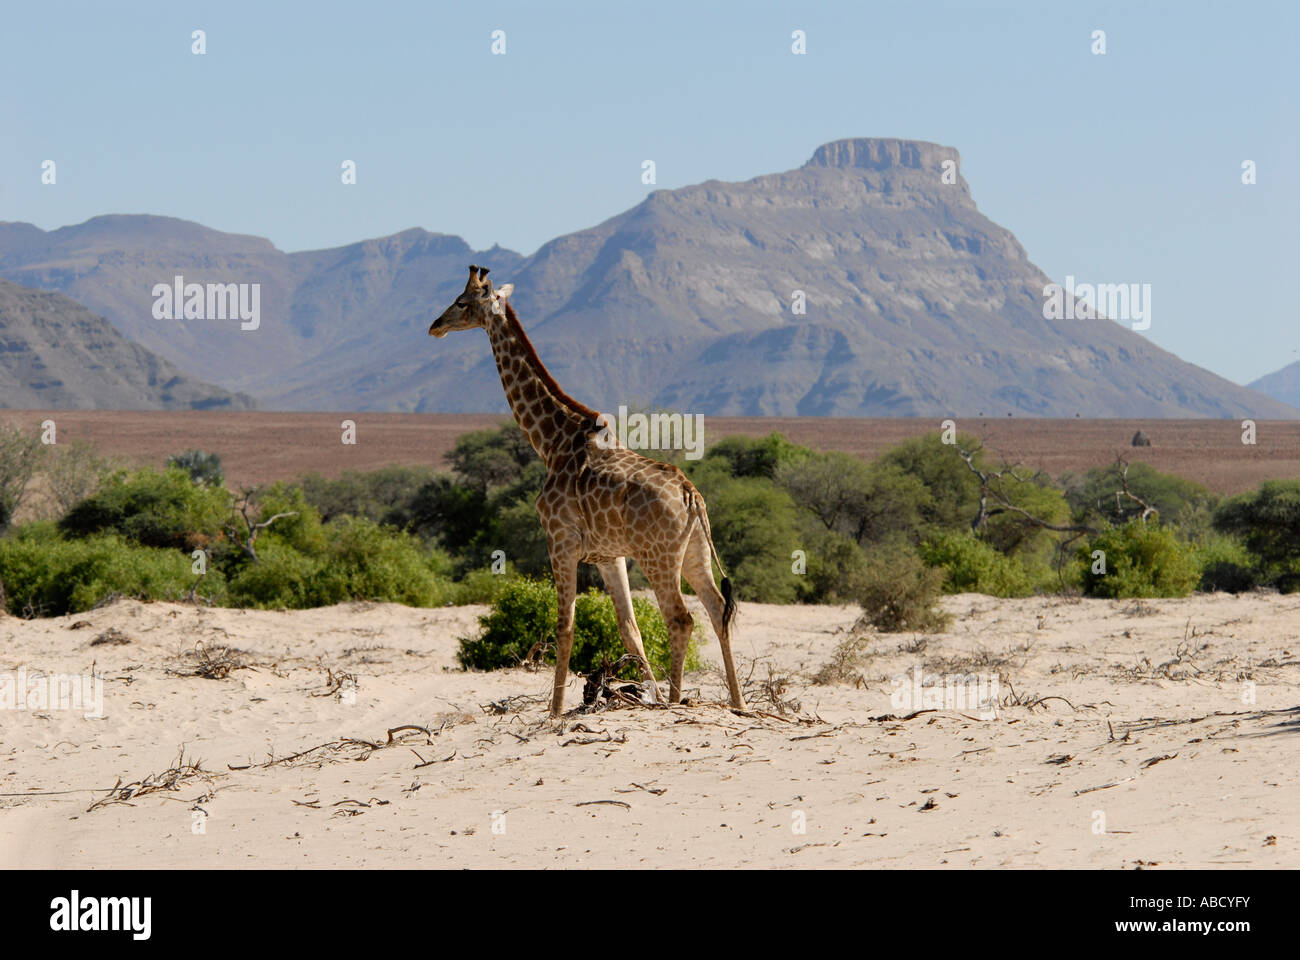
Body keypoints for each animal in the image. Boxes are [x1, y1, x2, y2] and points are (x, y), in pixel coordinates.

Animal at [431, 265, 748, 712]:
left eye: (461, 302)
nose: (435, 326)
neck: (551, 441)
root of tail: (692, 496)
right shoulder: (608, 556)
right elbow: (630, 629)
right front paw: (643, 695)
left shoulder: (560, 540)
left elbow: (565, 625)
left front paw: (555, 712)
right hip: (694, 554)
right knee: (718, 610)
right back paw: (738, 704)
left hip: (658, 557)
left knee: (681, 618)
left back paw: (675, 701)